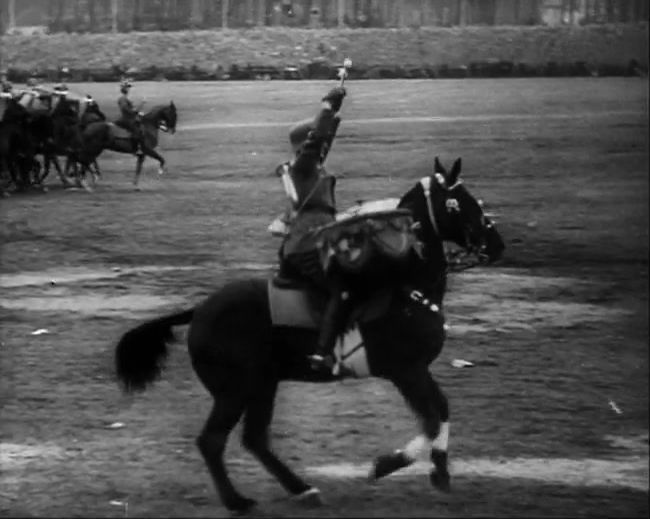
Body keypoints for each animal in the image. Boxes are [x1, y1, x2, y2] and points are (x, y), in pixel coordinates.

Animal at [114, 158, 504, 516]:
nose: (496, 244)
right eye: (457, 202)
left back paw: (301, 489)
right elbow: (432, 419)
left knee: (254, 439)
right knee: (212, 441)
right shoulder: (406, 371)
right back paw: (238, 501)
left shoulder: (417, 371)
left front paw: (440, 471)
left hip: (262, 385)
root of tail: (198, 311)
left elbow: (442, 410)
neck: (406, 286)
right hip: (235, 391)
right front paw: (384, 465)